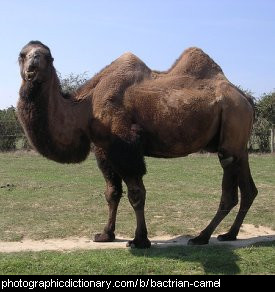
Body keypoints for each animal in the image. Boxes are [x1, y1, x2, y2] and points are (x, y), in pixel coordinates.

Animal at [17, 40, 258, 246]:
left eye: (47, 56)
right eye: (22, 54)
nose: (33, 64)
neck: (86, 107)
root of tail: (246, 99)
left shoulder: (126, 146)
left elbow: (136, 193)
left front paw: (140, 240)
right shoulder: (103, 150)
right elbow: (112, 193)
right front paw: (106, 234)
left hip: (232, 124)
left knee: (229, 191)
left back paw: (202, 237)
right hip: (239, 142)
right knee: (248, 189)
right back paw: (229, 234)